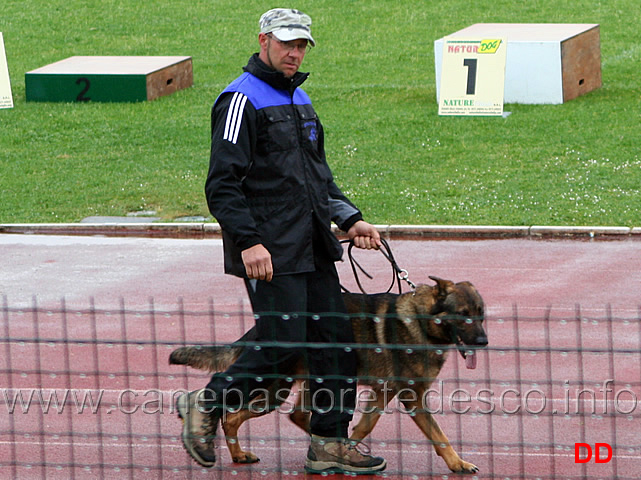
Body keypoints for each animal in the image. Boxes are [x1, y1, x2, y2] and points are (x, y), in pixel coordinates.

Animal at [169, 276, 484, 474]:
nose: (484, 341)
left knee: (293, 415)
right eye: (463, 314)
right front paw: (458, 464)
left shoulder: (383, 394)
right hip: (274, 390)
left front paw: (349, 450)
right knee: (232, 416)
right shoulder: (410, 398)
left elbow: (364, 426)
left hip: (309, 385)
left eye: (480, 314)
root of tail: (259, 329)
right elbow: (439, 435)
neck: (422, 320)